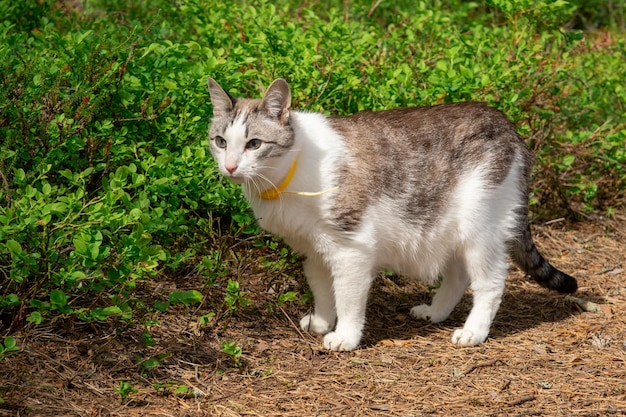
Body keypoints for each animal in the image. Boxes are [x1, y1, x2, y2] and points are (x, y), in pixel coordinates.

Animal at [206, 76, 576, 350]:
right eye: (221, 142)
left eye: (254, 144)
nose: (230, 167)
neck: (288, 173)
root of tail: (506, 122)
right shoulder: (314, 249)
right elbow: (322, 289)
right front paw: (323, 321)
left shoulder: (351, 248)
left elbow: (348, 298)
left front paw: (345, 336)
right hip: (448, 225)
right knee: (458, 274)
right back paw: (435, 312)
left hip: (478, 227)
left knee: (490, 281)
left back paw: (474, 331)